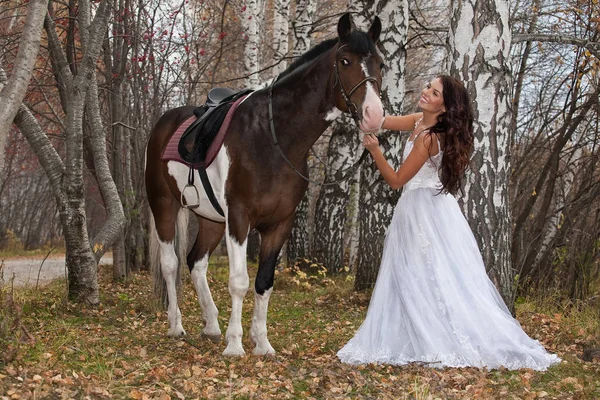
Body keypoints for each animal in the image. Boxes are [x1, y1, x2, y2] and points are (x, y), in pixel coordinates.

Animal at [146, 13, 384, 356]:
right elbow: (239, 282)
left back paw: (211, 325)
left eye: (379, 63)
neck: (273, 138)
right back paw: (176, 326)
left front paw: (262, 343)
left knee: (196, 263)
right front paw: (235, 345)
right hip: (164, 206)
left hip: (211, 219)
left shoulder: (279, 224)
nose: (374, 115)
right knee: (170, 264)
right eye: (345, 61)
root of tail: (165, 124)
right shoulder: (240, 218)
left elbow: (264, 282)